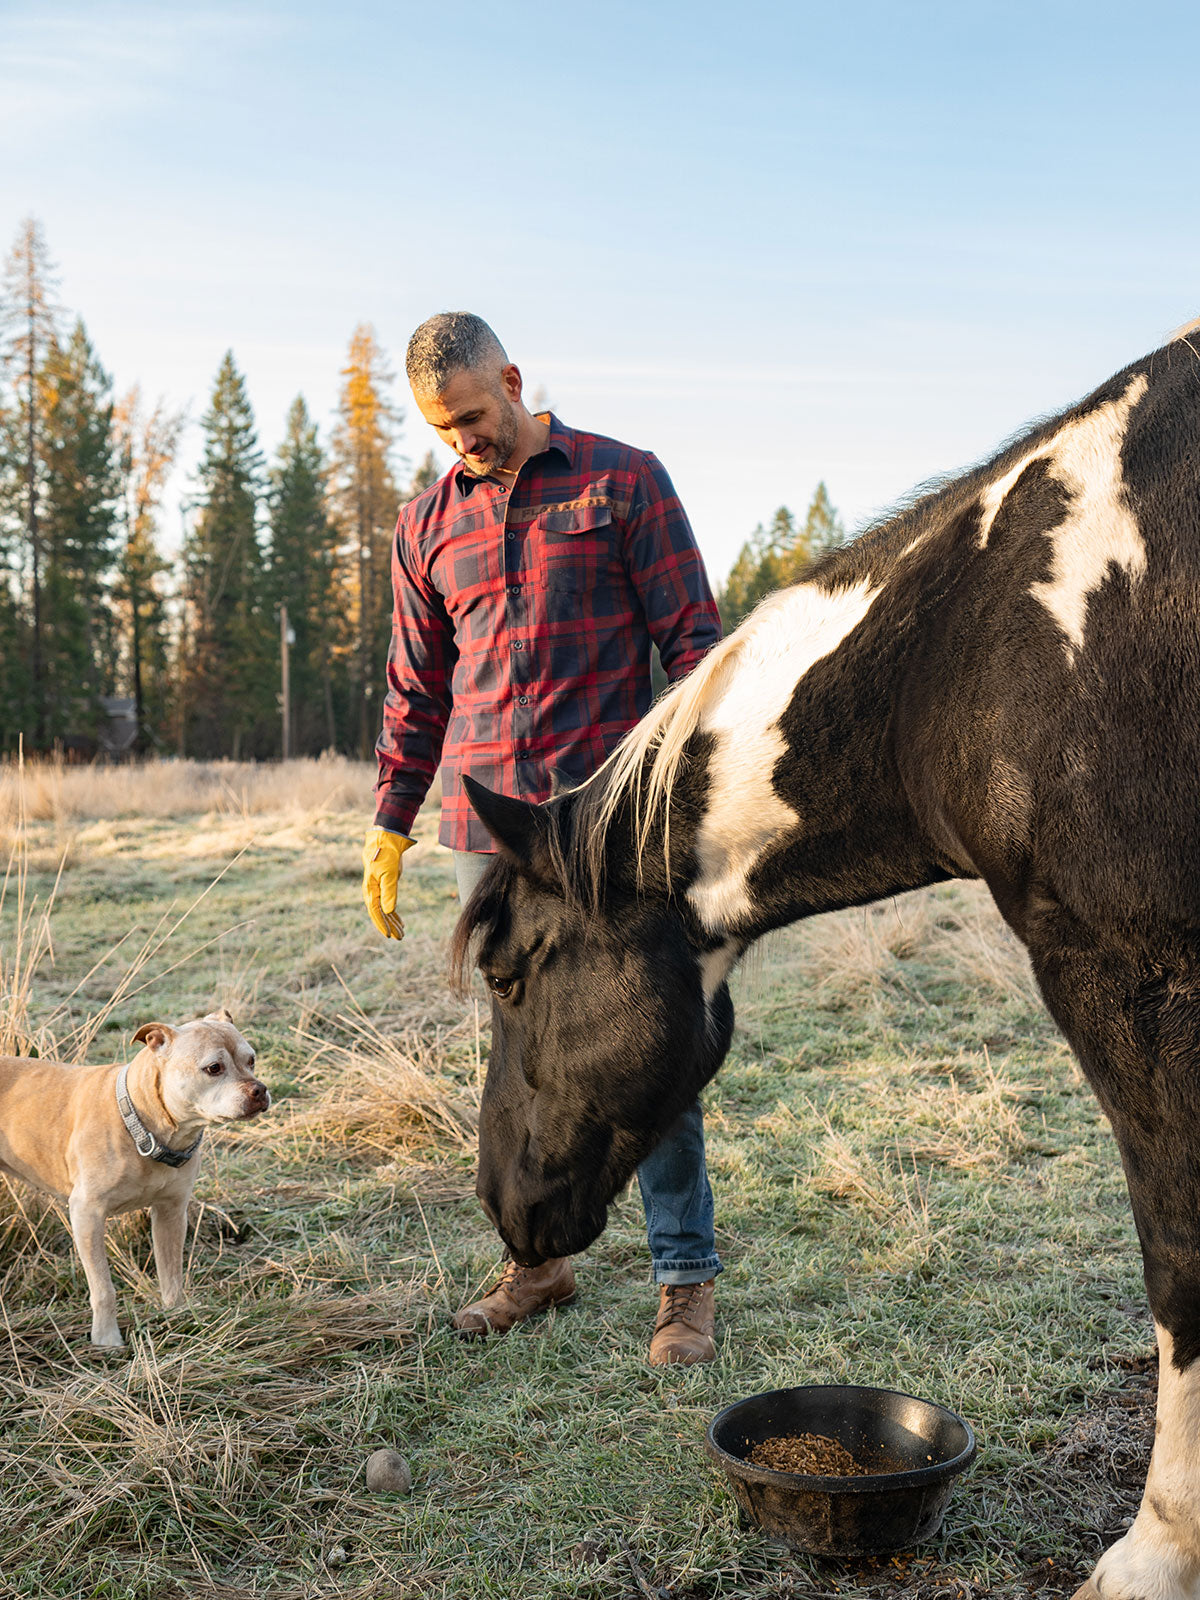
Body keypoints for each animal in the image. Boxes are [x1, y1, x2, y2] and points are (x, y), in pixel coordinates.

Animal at [0, 1011, 270, 1337]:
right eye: (214, 1068)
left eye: (251, 1060)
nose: (260, 1090)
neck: (145, 1125)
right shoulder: (87, 1214)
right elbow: (103, 1289)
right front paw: (106, 1337)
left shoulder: (171, 1212)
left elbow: (171, 1274)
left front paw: (177, 1316)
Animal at [454, 328, 1200, 1600]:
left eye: (510, 976)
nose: (502, 1204)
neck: (972, 655)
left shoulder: (1132, 976)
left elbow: (1180, 1254)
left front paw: (1157, 1552)